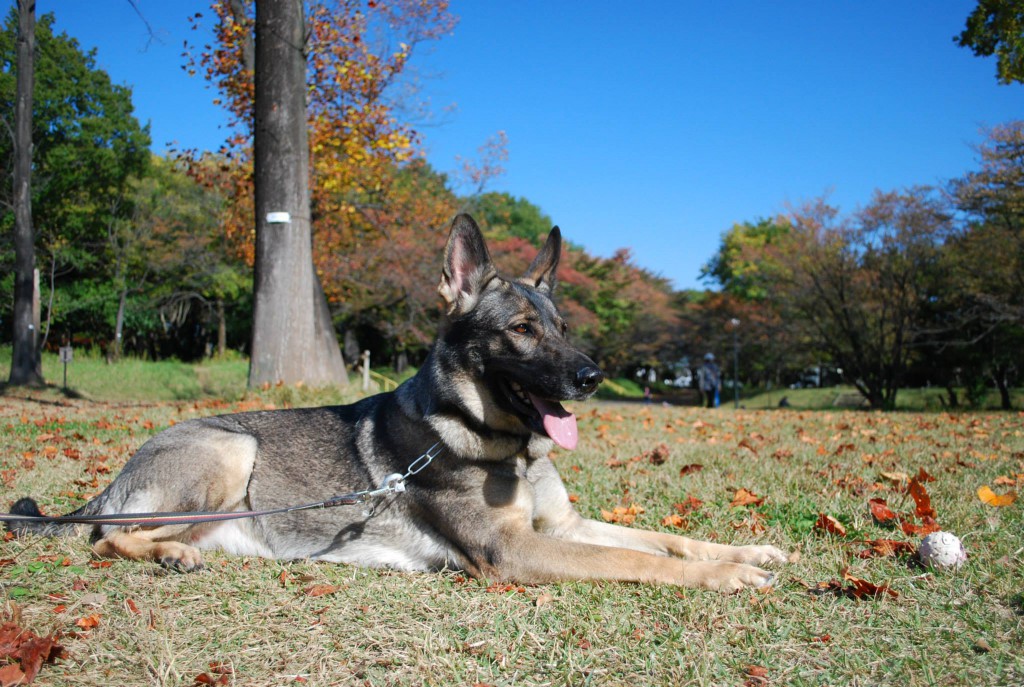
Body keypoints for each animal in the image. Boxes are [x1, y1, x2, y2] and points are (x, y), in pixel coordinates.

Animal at [12, 215, 786, 589]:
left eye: (563, 327)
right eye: (521, 330)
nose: (593, 377)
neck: (489, 438)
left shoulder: (561, 527)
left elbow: (661, 537)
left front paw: (746, 550)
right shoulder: (513, 550)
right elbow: (643, 559)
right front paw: (725, 575)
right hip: (234, 449)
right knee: (105, 534)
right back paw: (166, 554)